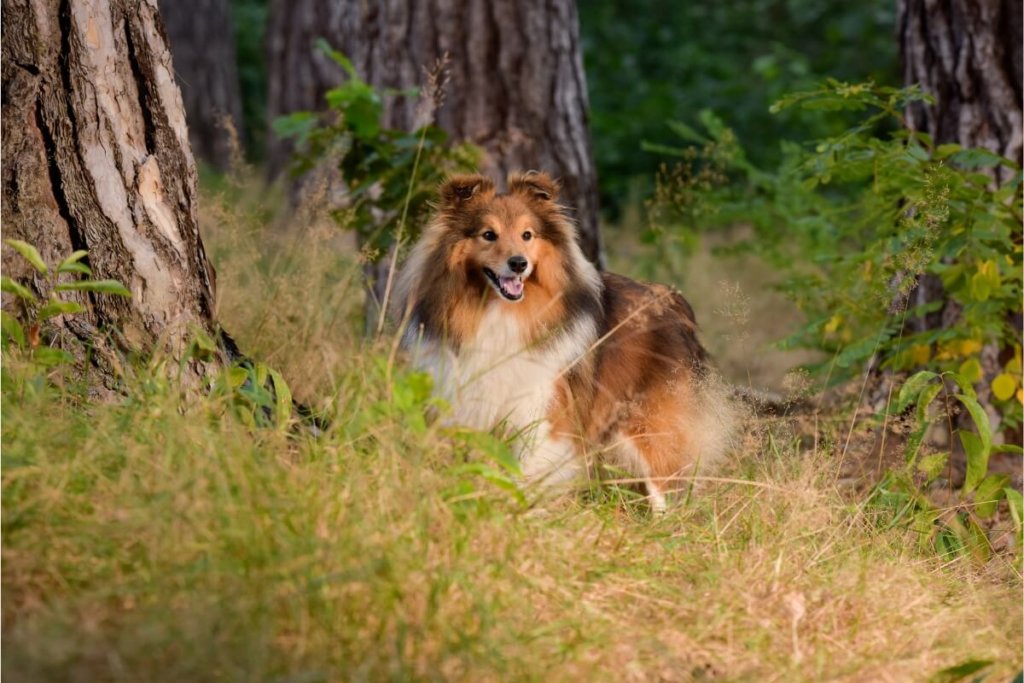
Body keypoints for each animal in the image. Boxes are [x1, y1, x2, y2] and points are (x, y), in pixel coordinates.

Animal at [393, 171, 737, 511]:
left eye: (527, 235)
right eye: (488, 234)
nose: (519, 264)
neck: (500, 311)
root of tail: (672, 301)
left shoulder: (542, 410)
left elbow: (525, 470)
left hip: (650, 426)